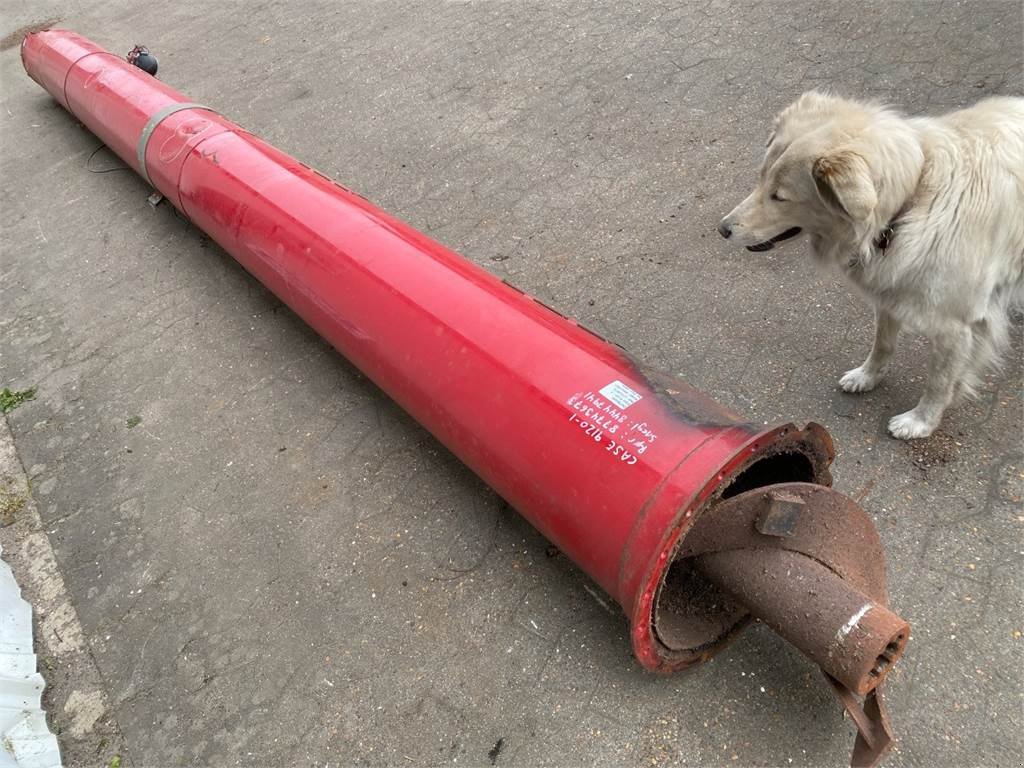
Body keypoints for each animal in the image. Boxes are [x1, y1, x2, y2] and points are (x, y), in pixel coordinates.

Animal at [720, 91, 1024, 438]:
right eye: (761, 178)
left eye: (779, 197)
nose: (723, 229)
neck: (910, 200)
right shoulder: (890, 293)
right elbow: (882, 343)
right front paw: (867, 377)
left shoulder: (956, 327)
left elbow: (939, 382)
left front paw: (921, 422)